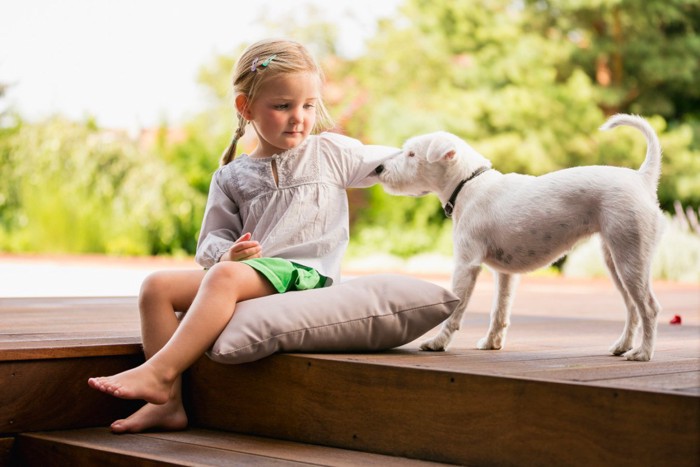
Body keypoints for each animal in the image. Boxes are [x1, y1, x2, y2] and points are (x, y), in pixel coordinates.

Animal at [380, 114, 664, 362]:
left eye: (411, 154)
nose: (380, 167)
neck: (468, 183)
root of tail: (642, 178)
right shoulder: (505, 274)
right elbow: (499, 310)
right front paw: (492, 342)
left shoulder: (466, 264)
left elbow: (455, 309)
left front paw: (438, 343)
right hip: (615, 260)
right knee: (633, 308)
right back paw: (623, 346)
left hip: (630, 258)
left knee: (649, 307)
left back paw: (643, 353)